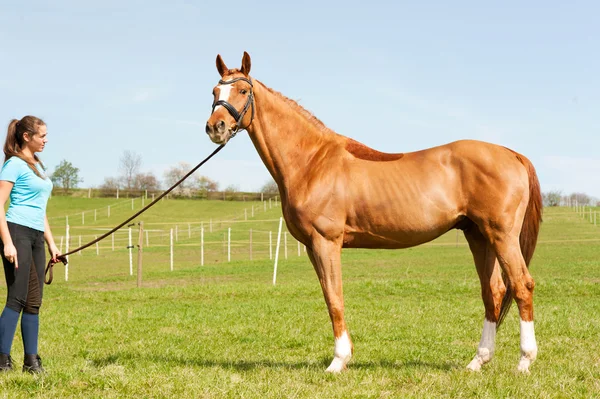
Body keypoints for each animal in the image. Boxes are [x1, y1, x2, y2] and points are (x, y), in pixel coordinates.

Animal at [205, 51, 544, 374]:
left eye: (243, 90)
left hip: (502, 236)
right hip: (479, 237)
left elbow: (335, 299)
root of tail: (513, 154)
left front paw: (338, 361)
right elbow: (329, 296)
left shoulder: (326, 242)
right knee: (494, 292)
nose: (215, 127)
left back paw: (524, 362)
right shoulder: (313, 247)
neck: (313, 161)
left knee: (521, 285)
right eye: (214, 91)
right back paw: (477, 361)